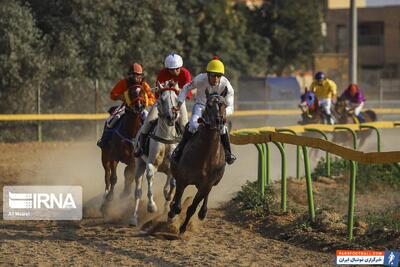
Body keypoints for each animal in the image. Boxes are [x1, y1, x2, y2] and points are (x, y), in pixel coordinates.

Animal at [100, 86, 147, 214]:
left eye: (142, 92)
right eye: (131, 92)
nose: (139, 106)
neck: (131, 133)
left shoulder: (134, 161)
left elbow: (129, 176)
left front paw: (125, 193)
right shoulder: (114, 157)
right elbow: (113, 178)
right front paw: (110, 197)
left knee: (127, 174)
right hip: (105, 156)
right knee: (107, 174)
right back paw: (105, 197)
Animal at [130, 81, 189, 226]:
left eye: (176, 99)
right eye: (161, 99)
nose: (171, 117)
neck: (166, 137)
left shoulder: (173, 167)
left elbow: (171, 185)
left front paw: (169, 208)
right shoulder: (151, 164)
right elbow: (150, 176)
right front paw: (152, 207)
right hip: (139, 164)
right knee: (138, 192)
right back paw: (134, 218)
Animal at [167, 90, 227, 234]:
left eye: (224, 104)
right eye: (209, 105)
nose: (218, 121)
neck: (204, 157)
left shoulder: (206, 184)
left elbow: (192, 208)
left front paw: (183, 228)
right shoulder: (183, 179)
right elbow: (177, 206)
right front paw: (172, 212)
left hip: (212, 183)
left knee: (206, 195)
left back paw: (203, 212)